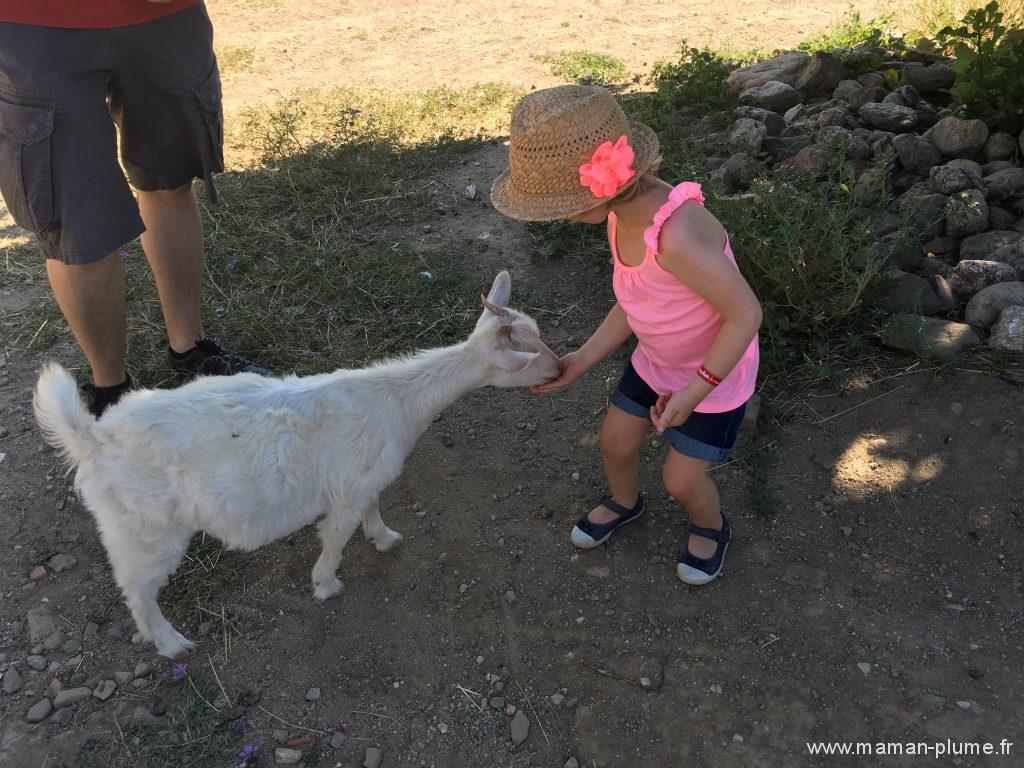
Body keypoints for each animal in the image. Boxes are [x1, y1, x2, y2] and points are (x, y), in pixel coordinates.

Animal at [36, 274, 557, 659]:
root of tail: (91, 440)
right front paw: (326, 586)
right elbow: (336, 539)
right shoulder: (345, 493)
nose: (559, 368)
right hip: (144, 528)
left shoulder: (365, 480)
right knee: (137, 590)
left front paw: (384, 538)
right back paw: (171, 644)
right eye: (529, 356)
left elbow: (373, 510)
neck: (399, 401)